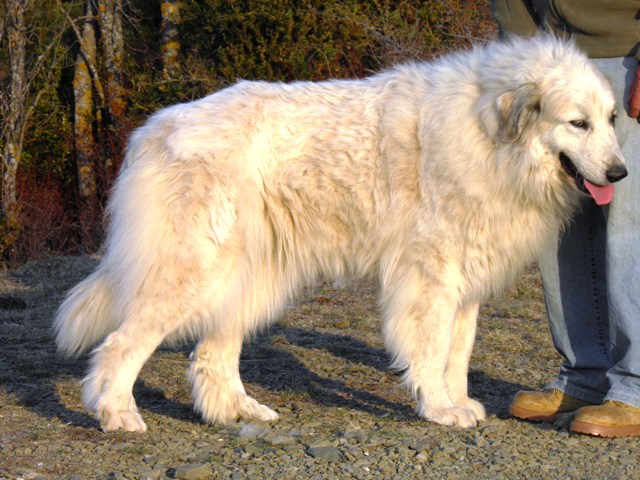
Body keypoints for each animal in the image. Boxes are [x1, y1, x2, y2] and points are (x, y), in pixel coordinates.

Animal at [53, 33, 624, 432]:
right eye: (577, 123)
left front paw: (458, 401)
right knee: (122, 345)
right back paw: (116, 413)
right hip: (193, 271)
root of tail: (155, 128)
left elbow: (459, 353)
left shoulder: (465, 281)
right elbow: (434, 347)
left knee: (213, 356)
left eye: (612, 119)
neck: (491, 136)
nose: (620, 173)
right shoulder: (431, 277)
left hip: (248, 279)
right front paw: (439, 408)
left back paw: (239, 411)